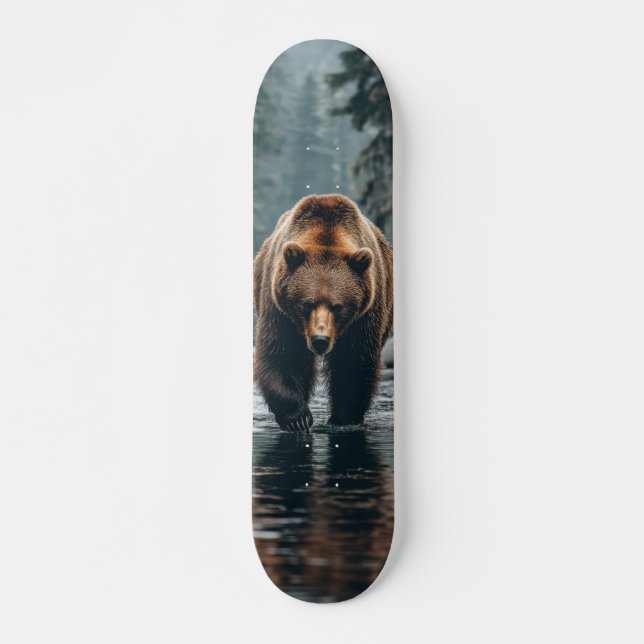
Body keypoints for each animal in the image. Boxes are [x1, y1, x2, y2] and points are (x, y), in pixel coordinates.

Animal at [253, 194, 393, 431]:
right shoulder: (280, 309)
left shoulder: (364, 316)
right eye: (307, 304)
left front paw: (343, 418)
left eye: (338, 306)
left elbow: (353, 362)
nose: (320, 340)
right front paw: (298, 418)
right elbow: (282, 353)